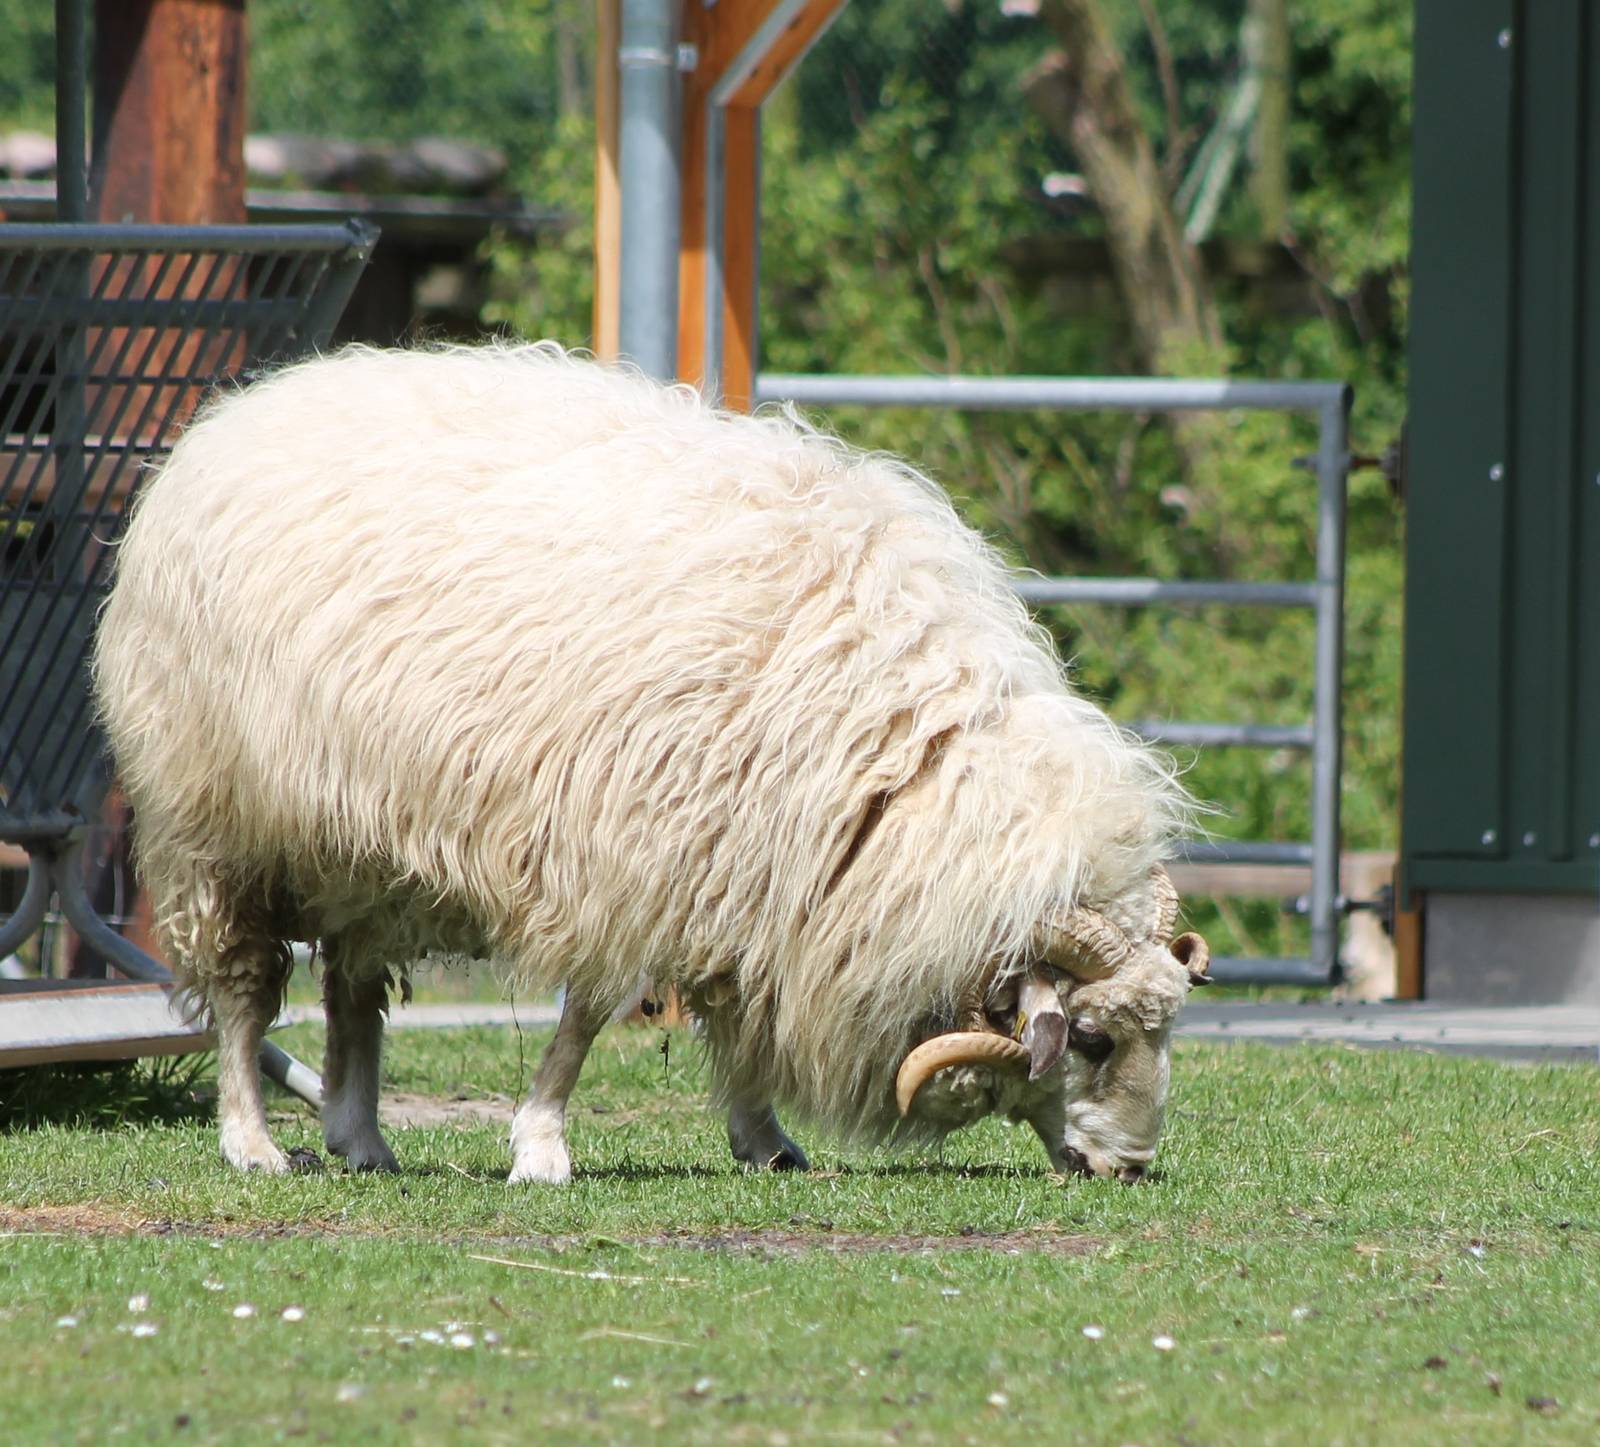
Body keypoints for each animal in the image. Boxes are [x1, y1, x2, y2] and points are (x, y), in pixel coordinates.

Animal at [92, 342, 1211, 1185]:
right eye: (1095, 1039)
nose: (1129, 1168)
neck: (904, 768)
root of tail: (240, 410)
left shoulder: (751, 866)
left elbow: (739, 1017)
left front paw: (764, 1139)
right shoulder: (627, 851)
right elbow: (588, 1017)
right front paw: (541, 1146)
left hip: (365, 842)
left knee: (353, 989)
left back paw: (361, 1138)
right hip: (219, 825)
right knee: (243, 989)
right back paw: (252, 1141)